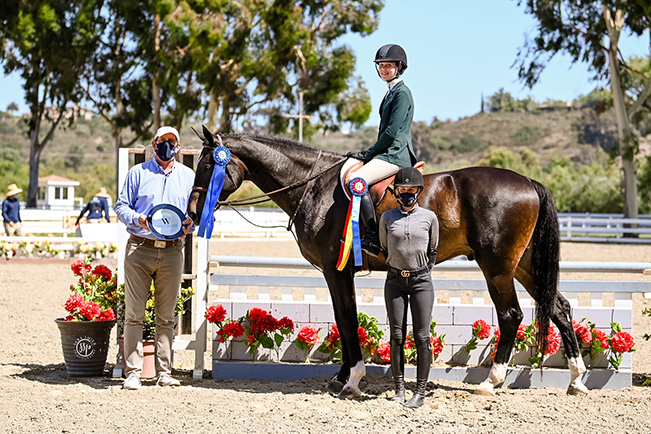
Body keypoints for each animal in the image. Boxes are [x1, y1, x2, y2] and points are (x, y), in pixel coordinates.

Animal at [186, 125, 588, 396]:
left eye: (207, 166)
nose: (191, 214)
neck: (312, 185)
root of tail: (529, 181)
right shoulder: (336, 273)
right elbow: (341, 319)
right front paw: (341, 376)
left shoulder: (337, 271)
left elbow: (348, 320)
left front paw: (352, 379)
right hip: (523, 265)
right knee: (560, 307)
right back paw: (577, 379)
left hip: (498, 267)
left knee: (511, 315)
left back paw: (492, 382)